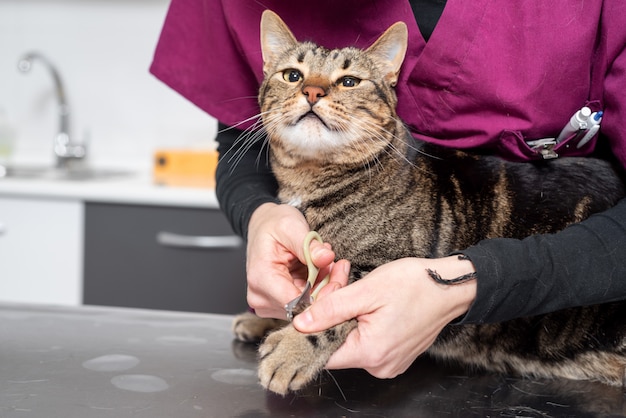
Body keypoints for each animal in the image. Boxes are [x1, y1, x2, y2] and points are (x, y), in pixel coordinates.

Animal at [233, 9, 624, 396]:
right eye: (293, 75)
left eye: (349, 81)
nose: (312, 90)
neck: (310, 180)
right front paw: (263, 319)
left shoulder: (380, 267)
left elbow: (336, 307)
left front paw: (291, 349)